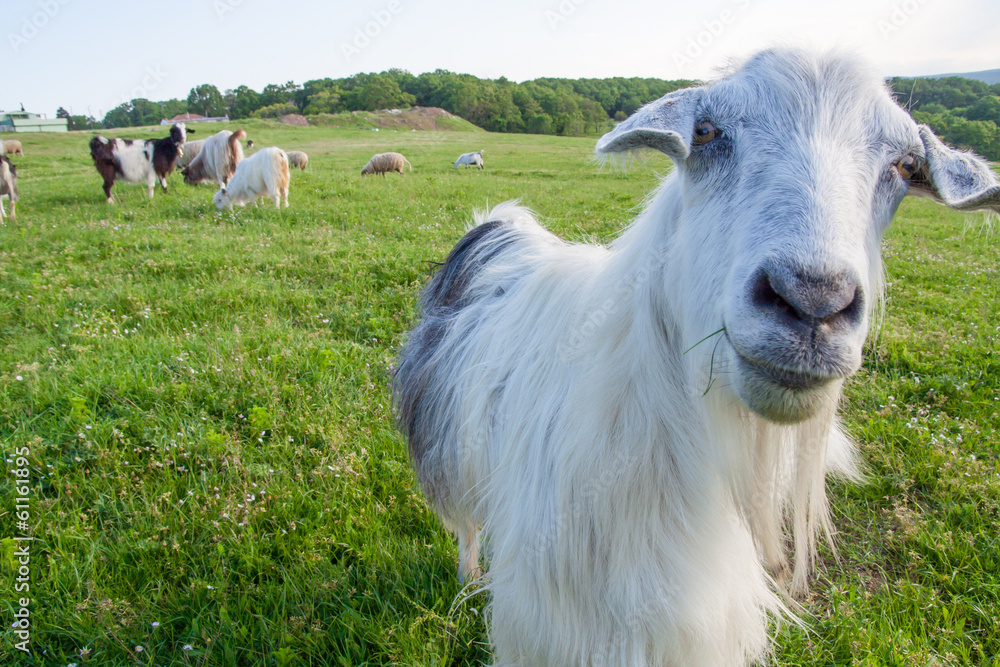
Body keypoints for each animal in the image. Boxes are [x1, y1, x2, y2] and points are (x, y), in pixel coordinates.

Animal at [393, 48, 1000, 666]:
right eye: (706, 132)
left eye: (904, 165)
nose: (812, 301)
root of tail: (501, 229)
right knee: (467, 525)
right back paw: (468, 578)